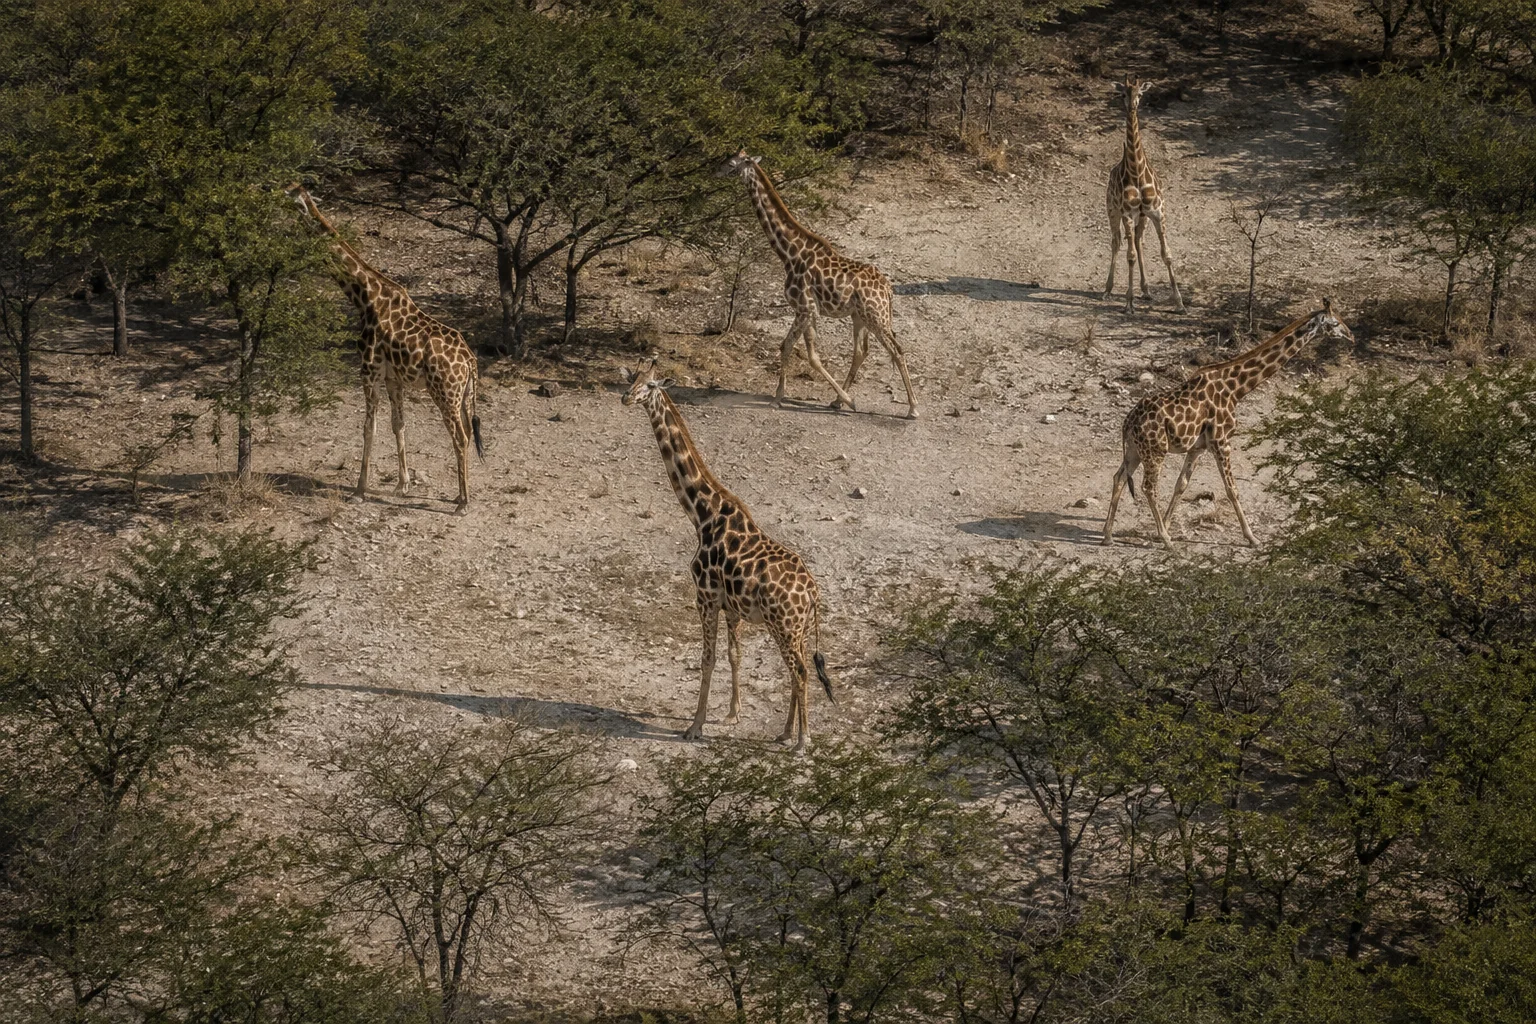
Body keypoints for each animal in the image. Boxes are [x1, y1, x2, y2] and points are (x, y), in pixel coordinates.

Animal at [286, 184, 483, 514]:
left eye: (289, 194)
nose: (266, 192)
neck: (364, 296)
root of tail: (470, 361)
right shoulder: (393, 377)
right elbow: (397, 424)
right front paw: (403, 485)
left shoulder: (368, 369)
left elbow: (370, 428)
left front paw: (359, 490)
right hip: (464, 396)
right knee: (467, 433)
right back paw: (459, 496)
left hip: (445, 394)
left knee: (461, 437)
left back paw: (464, 502)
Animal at [622, 360, 835, 751]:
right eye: (631, 379)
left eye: (650, 385)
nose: (626, 398)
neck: (700, 514)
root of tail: (813, 592)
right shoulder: (731, 606)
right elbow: (734, 655)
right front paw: (733, 713)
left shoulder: (704, 596)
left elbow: (707, 659)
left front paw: (695, 726)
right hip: (793, 628)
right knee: (795, 670)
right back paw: (785, 732)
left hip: (783, 625)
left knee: (799, 671)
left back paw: (802, 740)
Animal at [720, 149, 919, 419]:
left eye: (731, 164)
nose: (716, 172)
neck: (788, 253)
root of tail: (888, 290)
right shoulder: (806, 310)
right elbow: (798, 350)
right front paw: (782, 398)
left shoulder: (806, 307)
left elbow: (799, 351)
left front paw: (847, 400)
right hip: (859, 316)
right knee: (861, 351)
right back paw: (836, 401)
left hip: (876, 317)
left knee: (896, 350)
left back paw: (913, 407)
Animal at [1102, 300, 1353, 548]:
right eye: (1336, 322)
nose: (1351, 336)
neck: (1237, 389)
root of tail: (1127, 422)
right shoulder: (1221, 441)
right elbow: (1231, 489)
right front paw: (1252, 538)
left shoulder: (1198, 447)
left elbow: (1181, 484)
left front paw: (1162, 527)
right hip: (1155, 450)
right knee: (1148, 487)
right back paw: (1165, 541)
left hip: (1136, 450)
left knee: (1119, 477)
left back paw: (1108, 535)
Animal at [1104, 77, 1184, 314]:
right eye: (1123, 94)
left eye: (1140, 94)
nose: (1132, 106)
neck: (1137, 172)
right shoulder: (1128, 214)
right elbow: (1129, 255)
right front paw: (1129, 302)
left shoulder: (1157, 213)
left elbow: (1167, 254)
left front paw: (1179, 302)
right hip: (1112, 210)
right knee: (1116, 242)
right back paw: (1108, 289)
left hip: (1142, 218)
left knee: (1138, 242)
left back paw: (1146, 290)